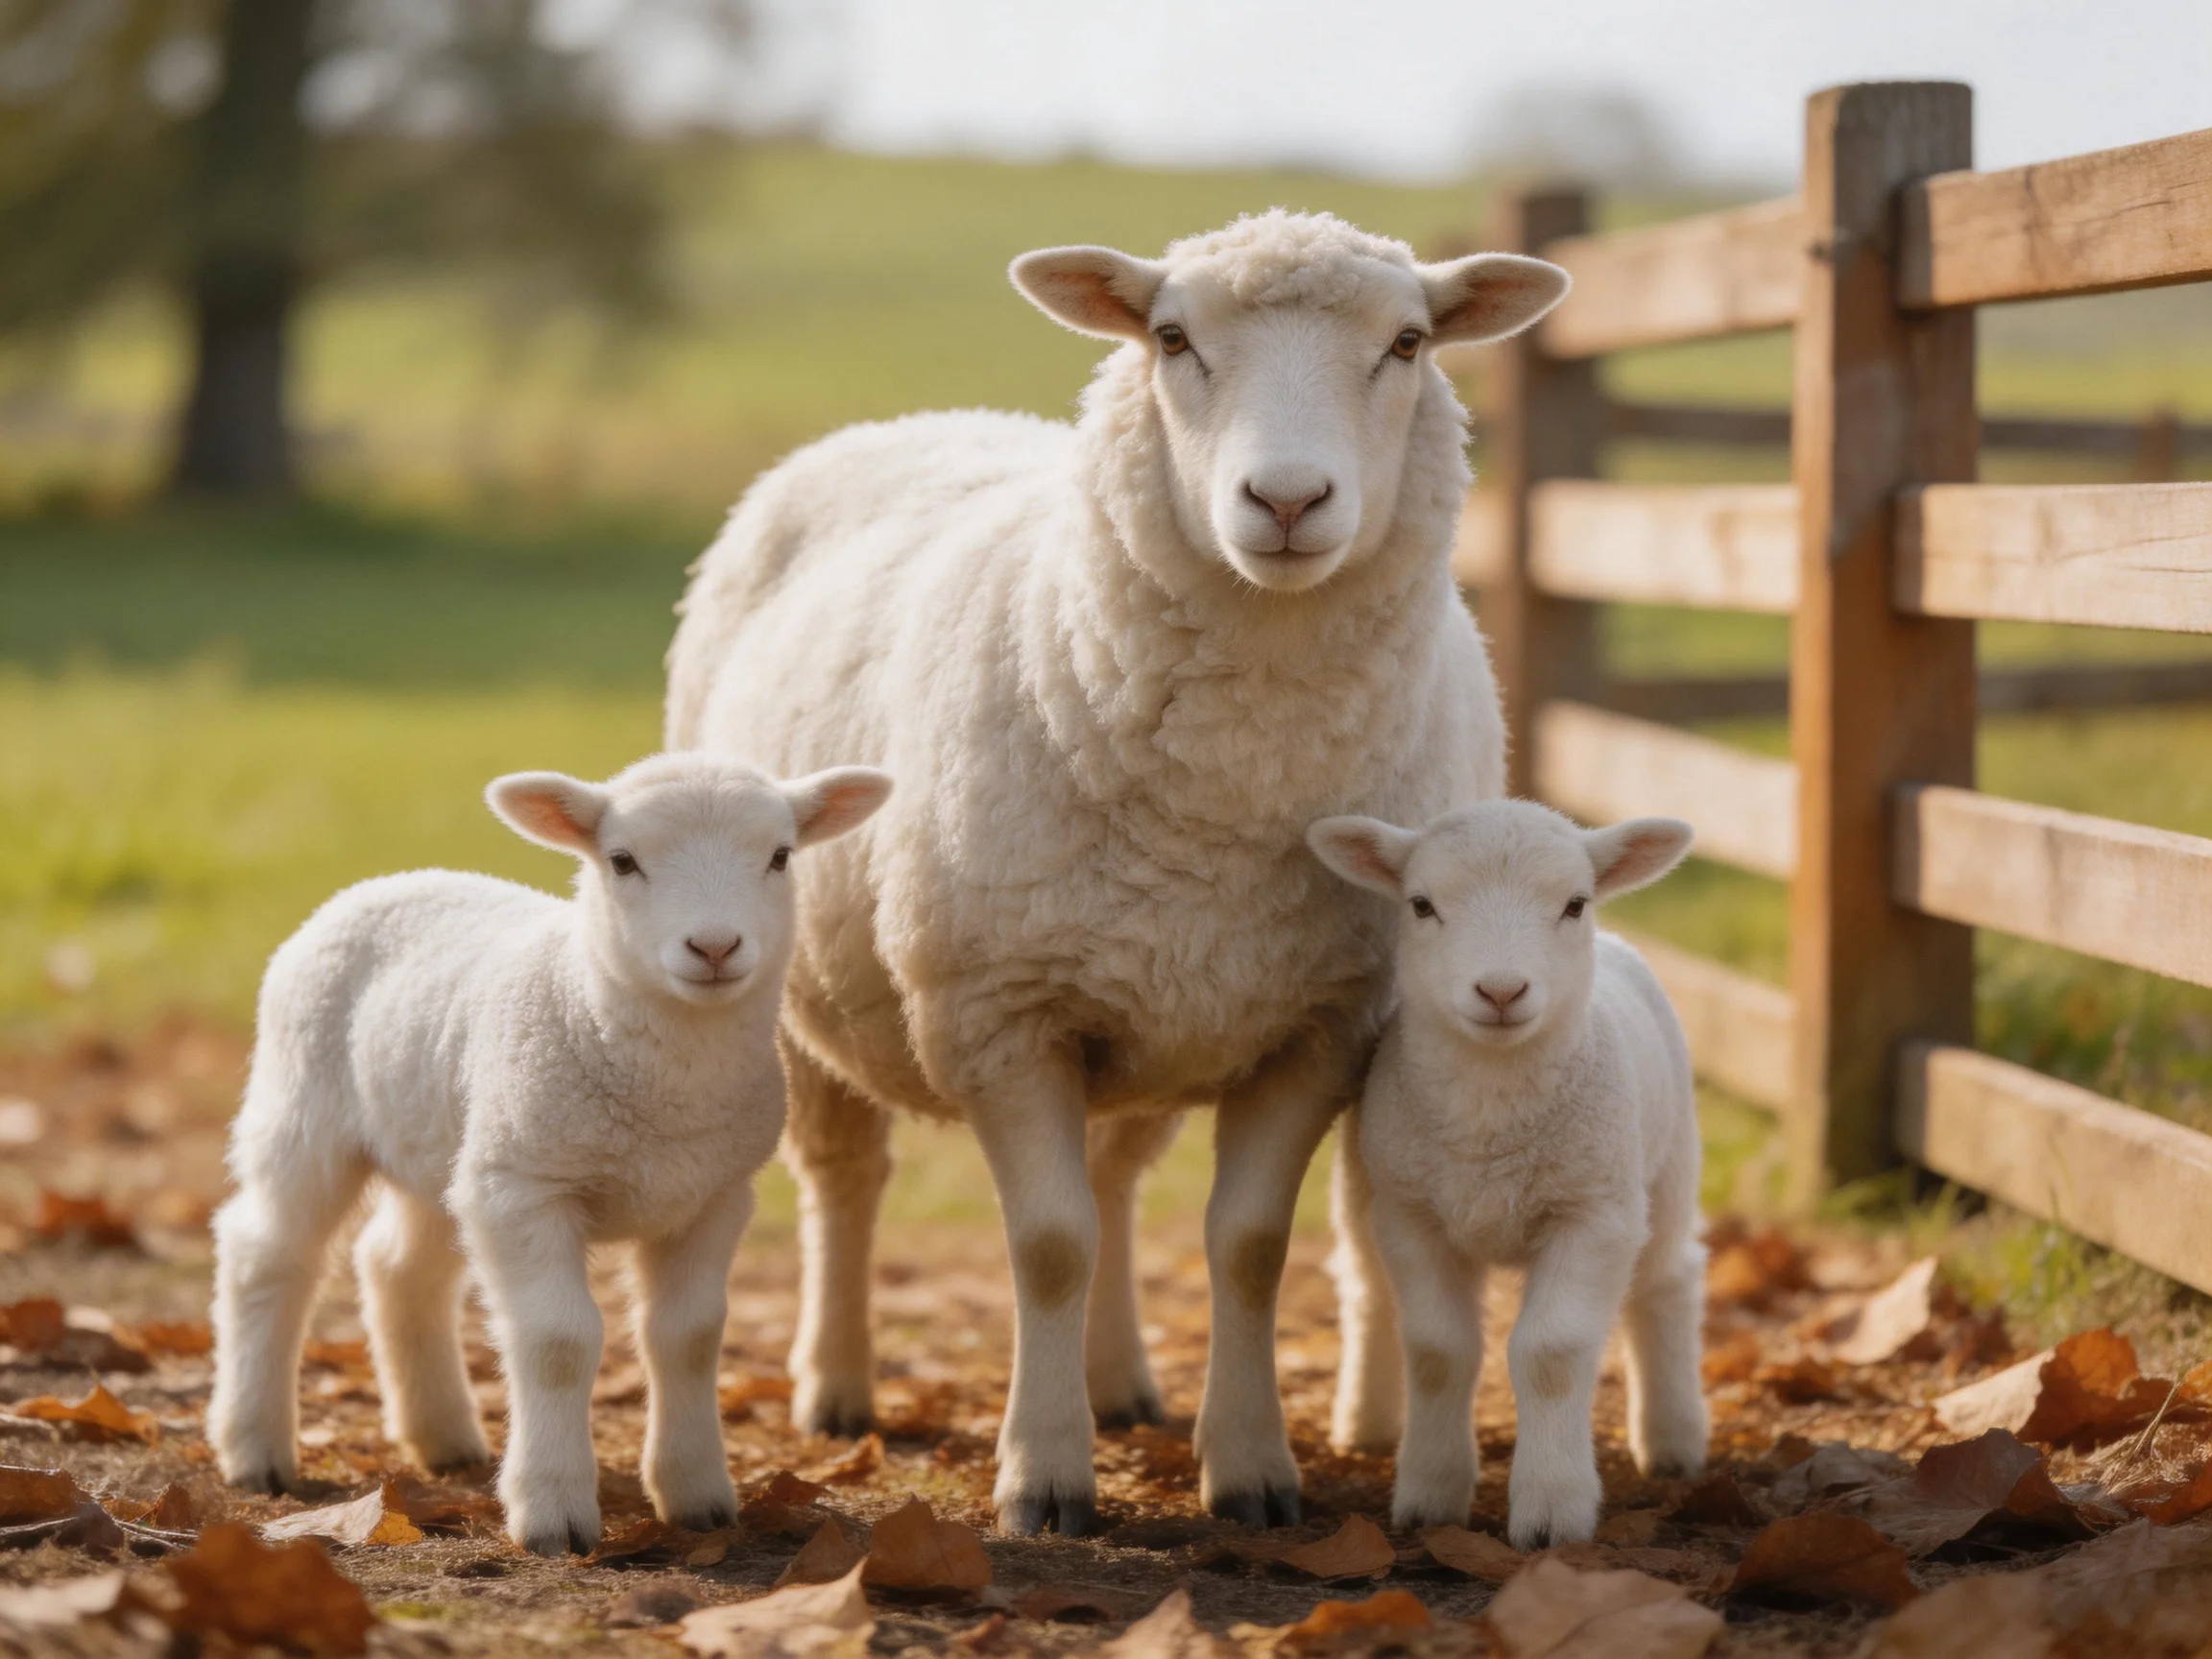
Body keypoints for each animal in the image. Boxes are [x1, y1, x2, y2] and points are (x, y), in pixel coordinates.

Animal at [205, 753, 892, 1556]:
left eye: (781, 856)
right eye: (622, 861)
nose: (715, 948)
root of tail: (391, 879)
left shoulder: (714, 1194)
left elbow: (689, 1337)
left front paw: (696, 1495)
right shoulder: (525, 1187)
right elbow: (559, 1341)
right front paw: (553, 1512)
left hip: (450, 1142)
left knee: (397, 1266)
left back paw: (444, 1438)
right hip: (307, 1105)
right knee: (266, 1253)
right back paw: (255, 1447)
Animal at [665, 209, 1570, 1534]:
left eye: (1408, 342)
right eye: (1173, 337)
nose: (1286, 498)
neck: (1235, 782)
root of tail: (917, 417)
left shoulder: (1317, 1022)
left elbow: (1246, 1246)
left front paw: (1247, 1467)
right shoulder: (1000, 1011)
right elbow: (1049, 1243)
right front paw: (1043, 1476)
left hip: (1155, 1007)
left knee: (1117, 1179)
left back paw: (1119, 1380)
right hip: (798, 993)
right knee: (846, 1179)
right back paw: (835, 1387)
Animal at [1306, 800, 1707, 1548]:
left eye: (1575, 904)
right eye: (1422, 904)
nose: (1500, 990)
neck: (1489, 1123)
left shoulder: (1594, 1213)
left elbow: (1552, 1353)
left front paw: (1552, 1509)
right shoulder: (1413, 1216)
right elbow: (1437, 1350)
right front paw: (1430, 1495)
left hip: (1666, 1169)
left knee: (1668, 1283)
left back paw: (1673, 1440)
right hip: (1363, 1187)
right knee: (1369, 1289)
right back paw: (1367, 1423)